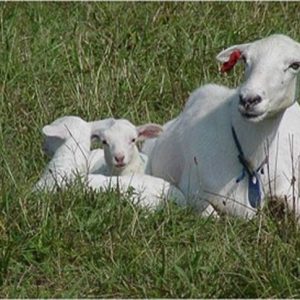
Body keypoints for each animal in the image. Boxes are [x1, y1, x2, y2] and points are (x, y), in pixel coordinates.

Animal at [149, 34, 300, 219]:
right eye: (245, 59)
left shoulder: (287, 185)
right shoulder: (193, 191)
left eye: (295, 65)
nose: (249, 99)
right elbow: (211, 215)